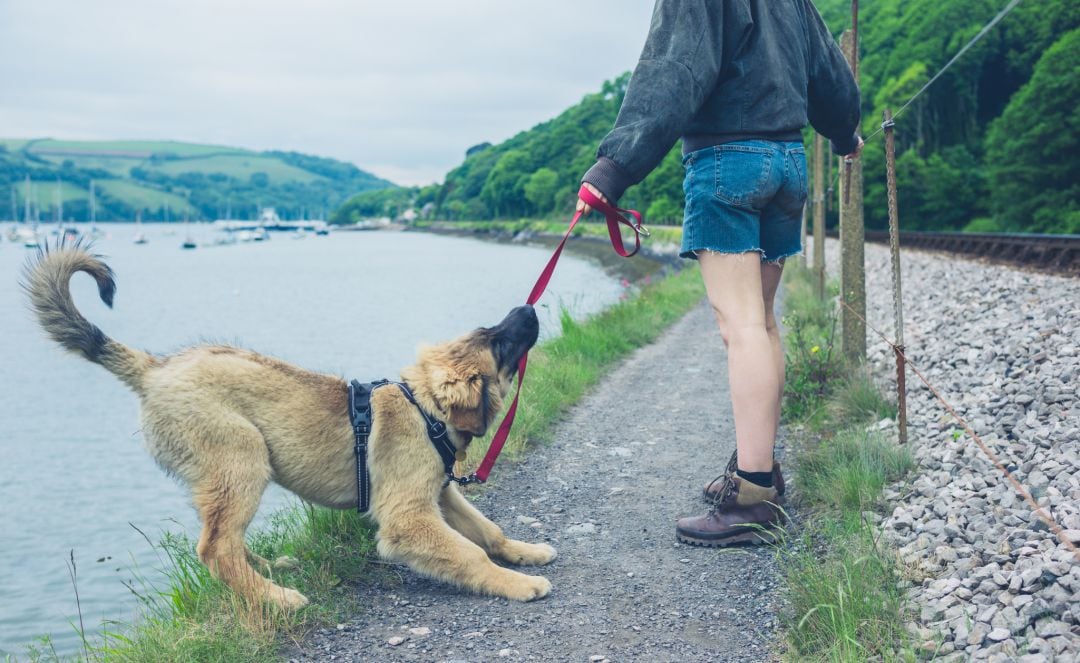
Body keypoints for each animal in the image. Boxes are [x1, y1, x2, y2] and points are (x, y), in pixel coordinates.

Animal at [25, 242, 557, 609]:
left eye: (490, 332)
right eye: (499, 343)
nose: (528, 308)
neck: (425, 409)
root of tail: (153, 368)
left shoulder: (441, 494)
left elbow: (487, 532)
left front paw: (524, 553)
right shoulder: (408, 516)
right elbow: (470, 554)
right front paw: (518, 584)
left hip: (225, 475)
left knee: (225, 541)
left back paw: (272, 572)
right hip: (242, 458)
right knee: (215, 549)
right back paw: (274, 598)